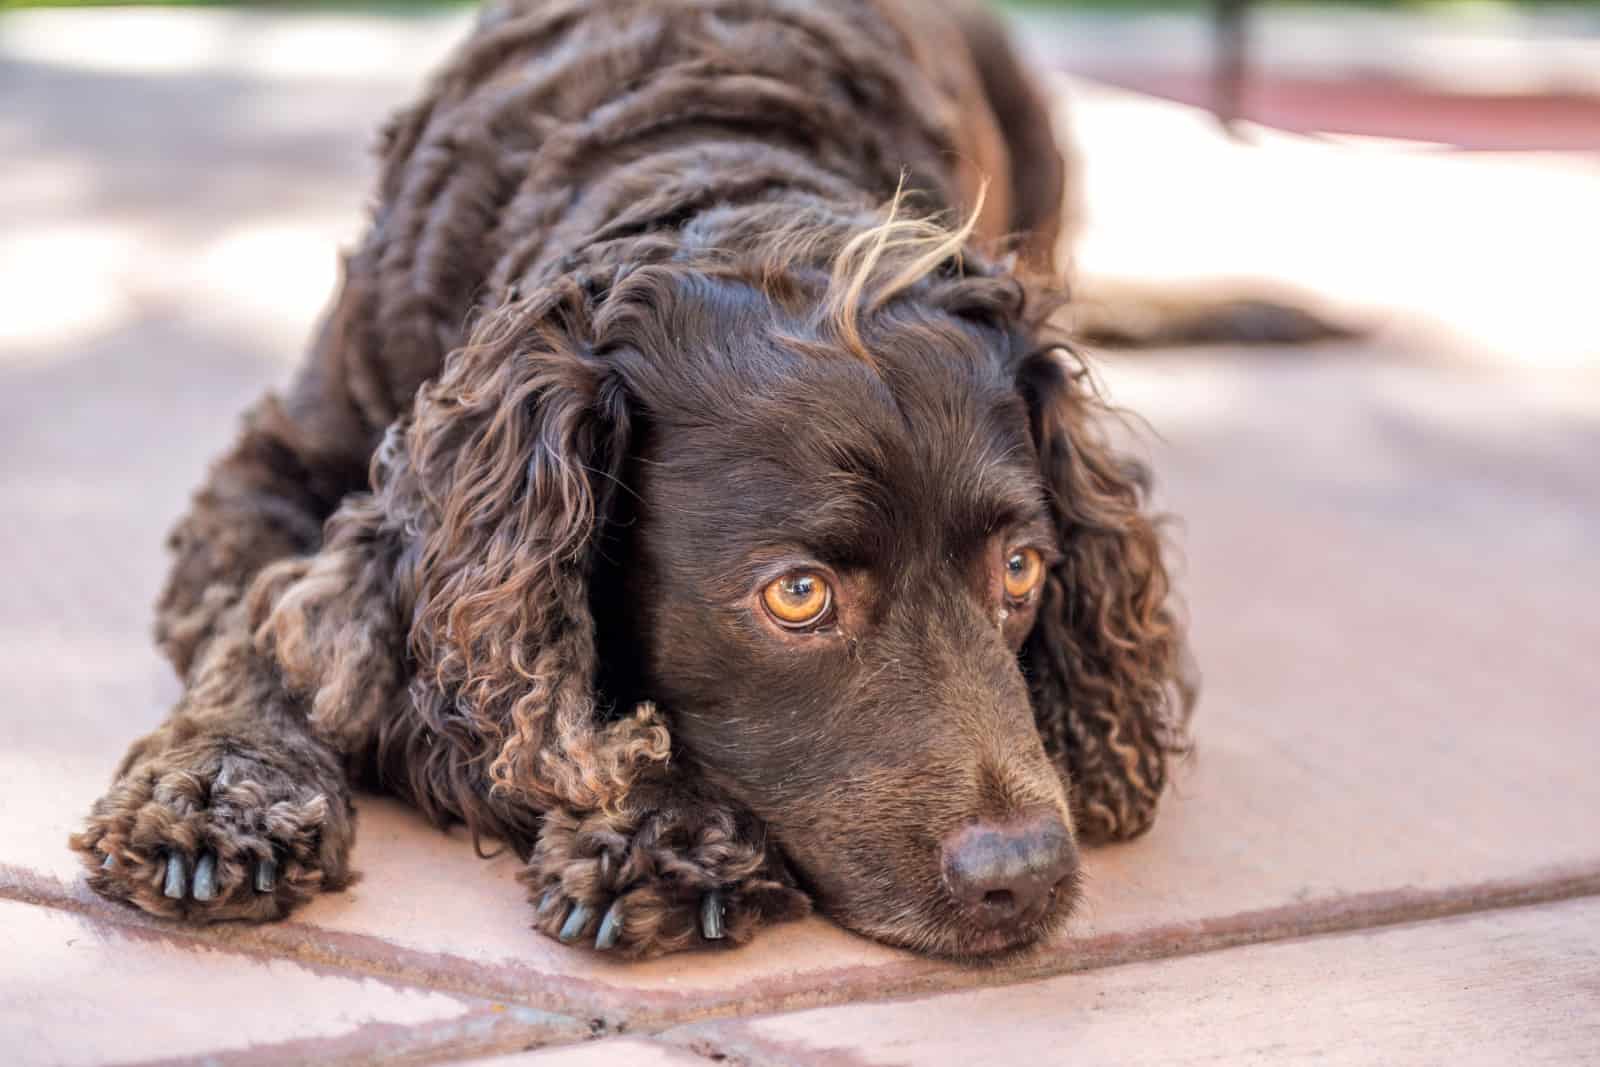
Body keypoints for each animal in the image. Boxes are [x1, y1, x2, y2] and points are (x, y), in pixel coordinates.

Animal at [78, 0, 1190, 966]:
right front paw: (220, 789)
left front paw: (663, 827)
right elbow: (262, 629)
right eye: (798, 593)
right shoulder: (276, 467)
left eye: (1021, 569)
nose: (1026, 875)